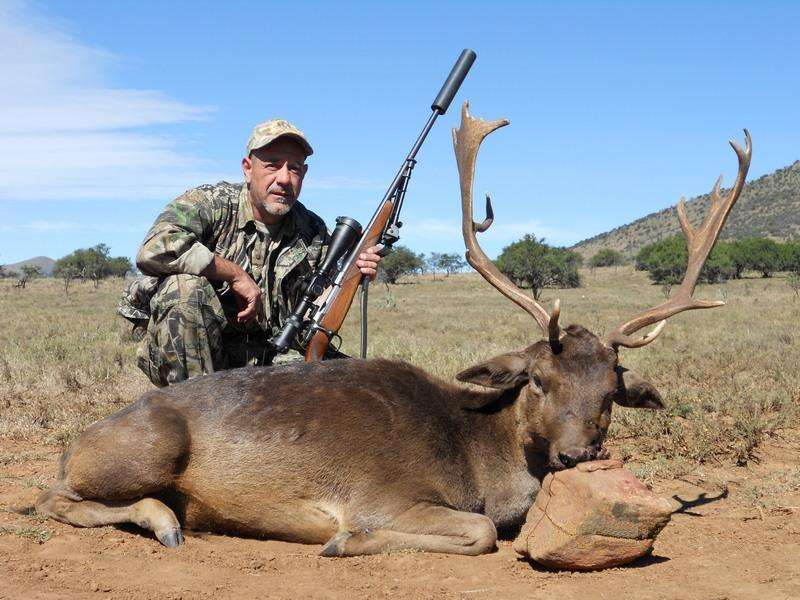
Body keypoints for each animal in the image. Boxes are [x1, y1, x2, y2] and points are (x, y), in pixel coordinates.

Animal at [35, 103, 751, 557]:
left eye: (611, 389)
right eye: (538, 380)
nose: (579, 455)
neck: (478, 454)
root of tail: (77, 441)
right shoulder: (385, 494)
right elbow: (479, 532)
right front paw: (343, 541)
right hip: (147, 447)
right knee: (50, 495)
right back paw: (164, 520)